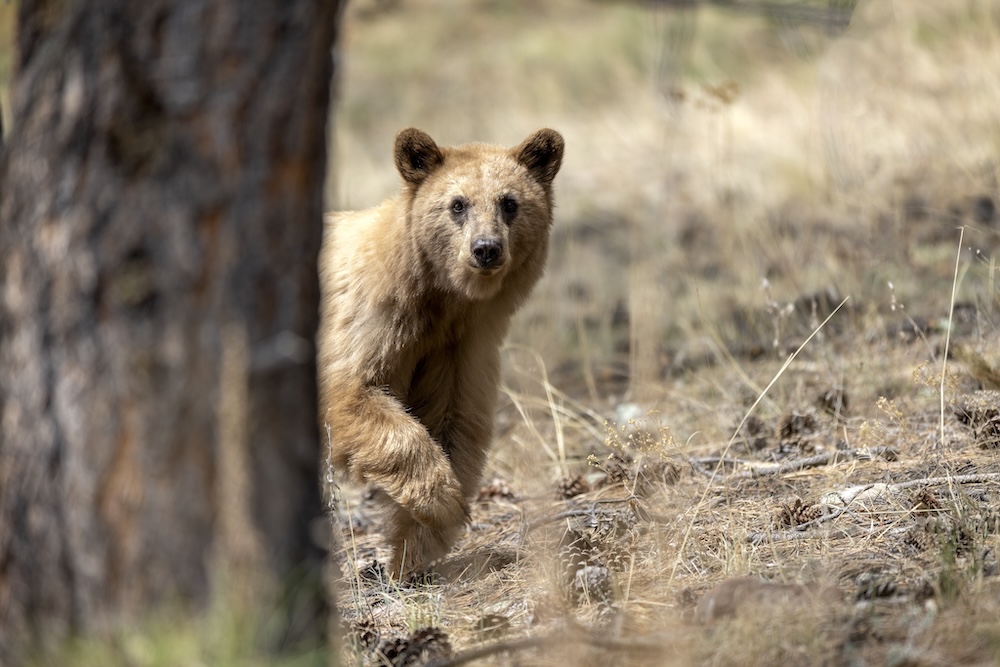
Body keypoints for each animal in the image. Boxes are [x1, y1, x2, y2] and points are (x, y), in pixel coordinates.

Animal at [318, 127, 564, 576]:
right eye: (457, 204)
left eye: (509, 202)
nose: (486, 249)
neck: (437, 300)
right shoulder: (365, 322)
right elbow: (350, 391)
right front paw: (440, 502)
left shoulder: (457, 347)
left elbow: (454, 421)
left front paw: (415, 547)